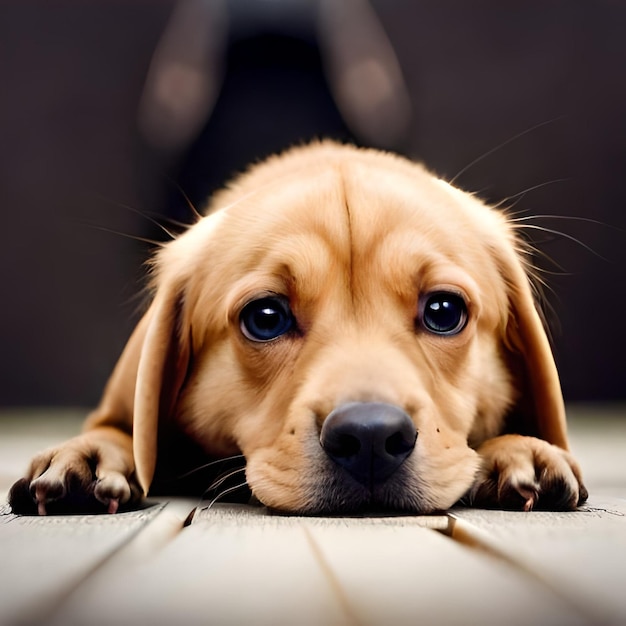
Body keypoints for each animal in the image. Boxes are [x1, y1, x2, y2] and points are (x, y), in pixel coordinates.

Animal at [8, 144, 584, 516]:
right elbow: (116, 428)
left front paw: (515, 449)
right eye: (266, 318)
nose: (370, 438)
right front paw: (92, 454)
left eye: (444, 311)